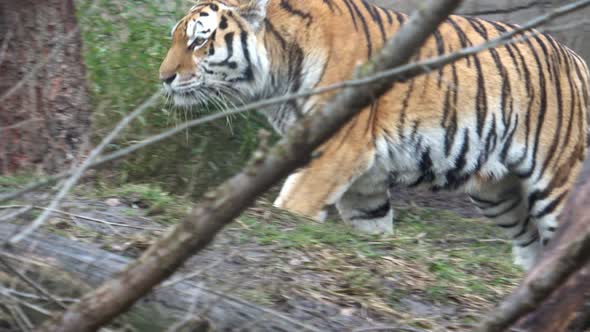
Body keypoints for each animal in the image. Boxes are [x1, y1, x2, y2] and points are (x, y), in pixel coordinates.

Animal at [158, 0, 590, 270]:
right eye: (176, 38)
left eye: (199, 40)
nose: (164, 78)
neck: (277, 75)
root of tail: (578, 60)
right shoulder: (365, 184)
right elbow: (372, 225)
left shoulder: (334, 151)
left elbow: (292, 206)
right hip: (500, 194)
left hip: (559, 183)